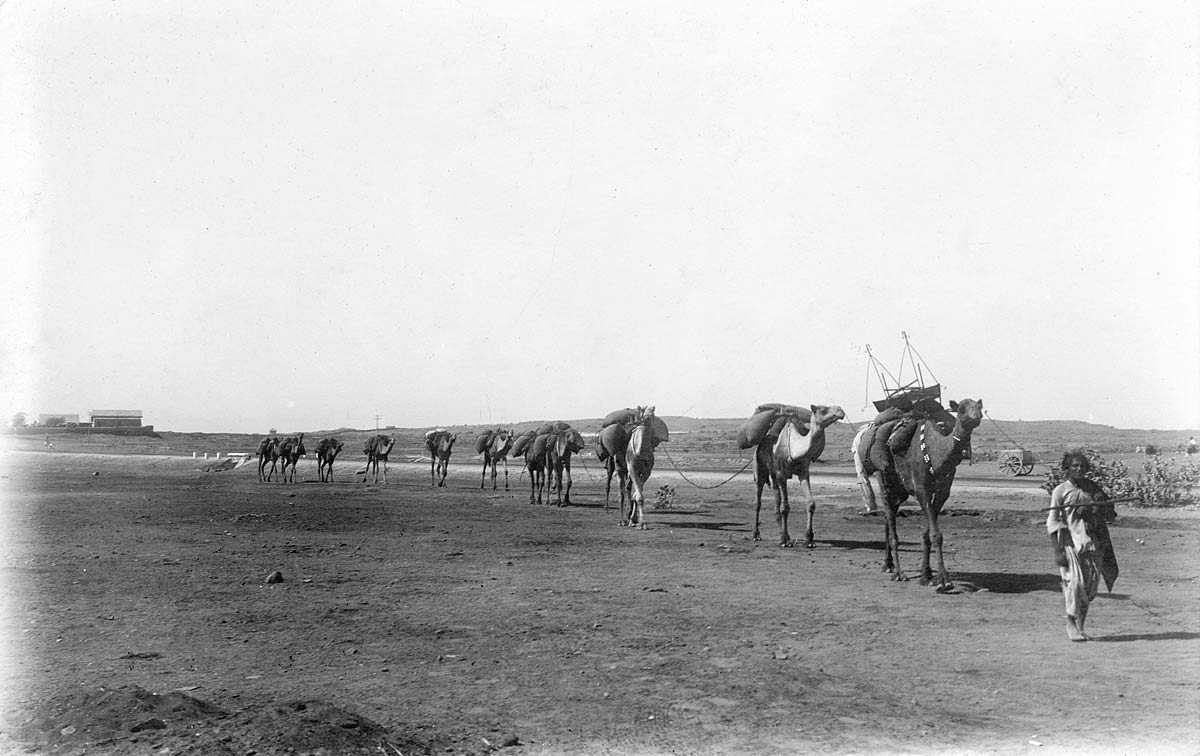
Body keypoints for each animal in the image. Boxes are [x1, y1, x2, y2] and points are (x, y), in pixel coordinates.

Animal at [753, 405, 849, 547]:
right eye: (823, 409)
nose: (840, 410)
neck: (794, 448)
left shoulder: (803, 472)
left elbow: (810, 503)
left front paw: (809, 539)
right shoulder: (781, 474)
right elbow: (785, 508)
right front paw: (785, 542)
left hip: (773, 474)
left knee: (776, 499)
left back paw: (784, 535)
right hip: (760, 467)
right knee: (758, 501)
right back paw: (757, 535)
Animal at [873, 400, 984, 590]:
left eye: (979, 407)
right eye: (962, 409)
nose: (976, 416)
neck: (934, 453)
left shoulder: (942, 492)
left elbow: (928, 535)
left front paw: (926, 575)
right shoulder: (921, 490)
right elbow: (936, 535)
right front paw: (945, 581)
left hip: (901, 491)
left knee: (889, 516)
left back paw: (888, 564)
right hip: (885, 479)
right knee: (890, 520)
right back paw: (898, 573)